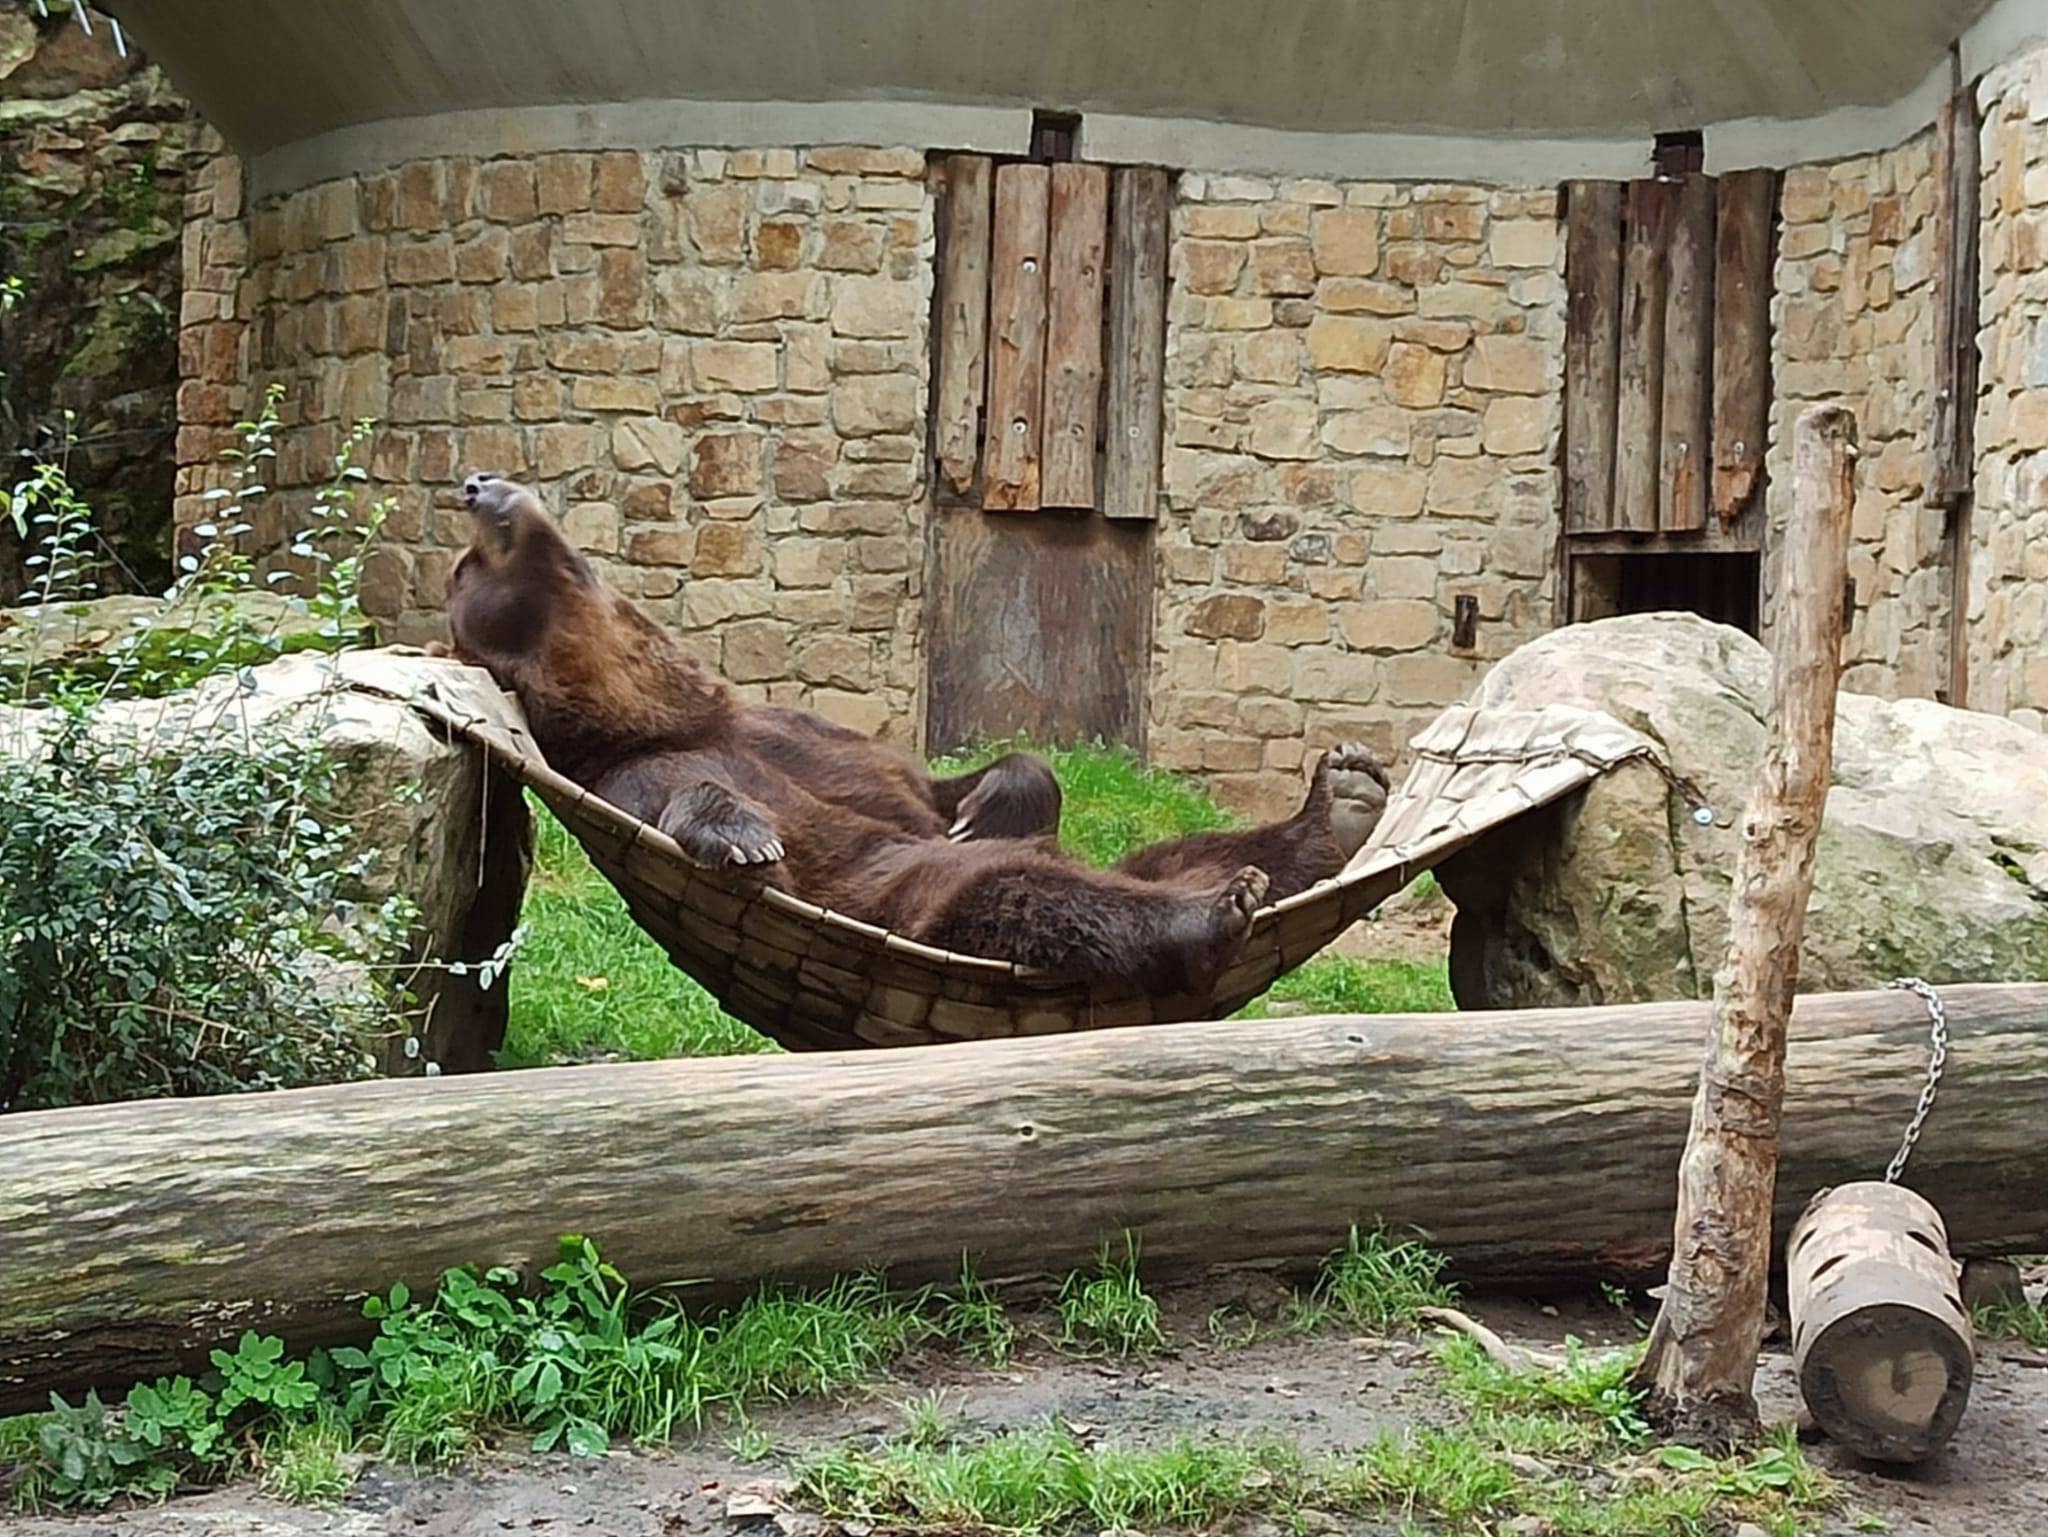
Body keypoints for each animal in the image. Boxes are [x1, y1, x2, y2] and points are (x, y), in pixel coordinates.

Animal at [438, 473, 1384, 1000]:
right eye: (465, 570)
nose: (474, 484)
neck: (665, 703)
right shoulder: (639, 773)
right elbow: (715, 816)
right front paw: (742, 836)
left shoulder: (811, 735)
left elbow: (945, 780)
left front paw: (992, 800)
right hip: (917, 901)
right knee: (1029, 895)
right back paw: (1218, 906)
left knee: (1178, 852)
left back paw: (1339, 804)